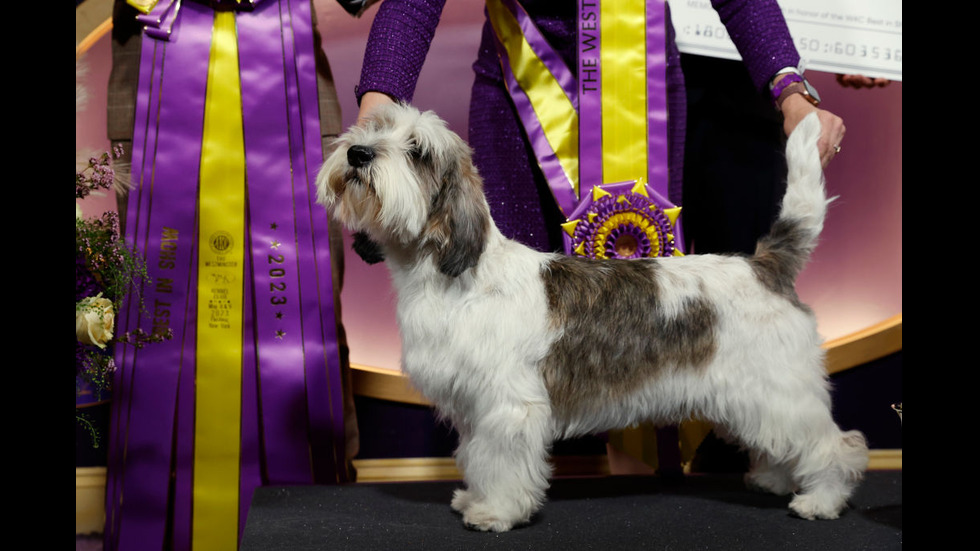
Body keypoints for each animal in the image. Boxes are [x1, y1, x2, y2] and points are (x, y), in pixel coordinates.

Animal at [314, 101, 864, 532]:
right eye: (374, 128)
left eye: (417, 151)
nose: (357, 153)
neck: (453, 272)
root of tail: (765, 264)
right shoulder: (475, 407)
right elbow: (477, 456)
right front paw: (476, 498)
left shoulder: (509, 406)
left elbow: (502, 460)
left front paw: (497, 512)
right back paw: (776, 479)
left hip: (778, 388)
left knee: (836, 443)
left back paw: (821, 499)